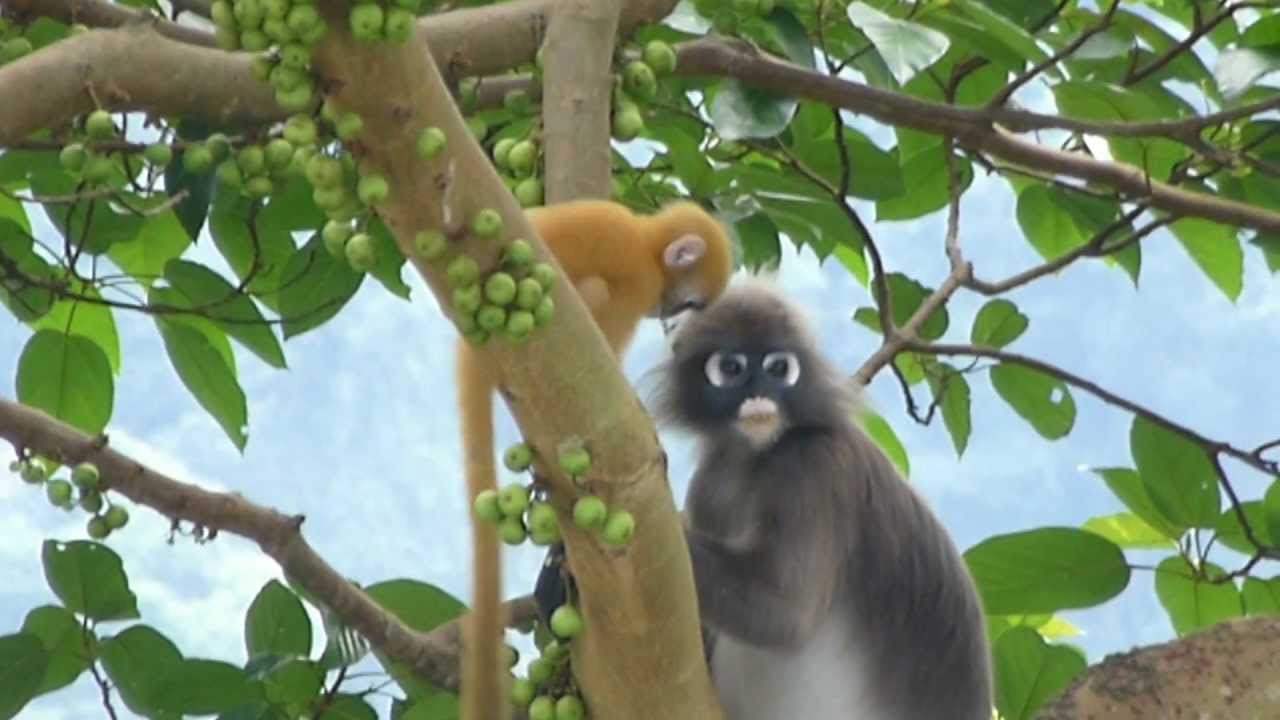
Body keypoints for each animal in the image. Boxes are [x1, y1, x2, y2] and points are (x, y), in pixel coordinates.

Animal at [647, 279, 993, 720]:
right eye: (731, 368)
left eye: (779, 368)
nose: (760, 396)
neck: (755, 457)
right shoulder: (708, 485)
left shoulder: (815, 467)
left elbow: (784, 613)